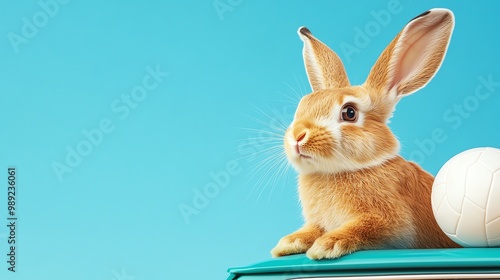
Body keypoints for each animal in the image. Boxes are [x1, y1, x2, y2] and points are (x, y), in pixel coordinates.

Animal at [272, 7, 458, 260]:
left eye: (349, 113)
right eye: (302, 106)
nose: (298, 136)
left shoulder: (393, 223)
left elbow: (365, 227)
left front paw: (327, 244)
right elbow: (312, 229)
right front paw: (289, 242)